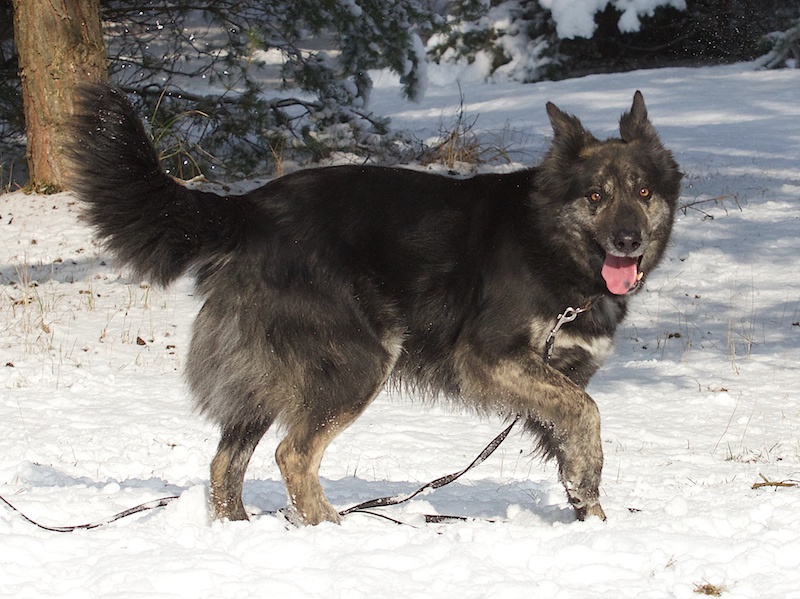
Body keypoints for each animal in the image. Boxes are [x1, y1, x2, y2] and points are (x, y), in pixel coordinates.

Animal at [67, 83, 681, 524]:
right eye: (596, 195)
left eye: (643, 192)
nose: (628, 240)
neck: (549, 242)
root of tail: (250, 207)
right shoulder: (491, 357)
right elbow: (588, 415)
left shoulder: (557, 374)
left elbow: (571, 436)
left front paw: (589, 516)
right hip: (360, 360)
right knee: (292, 454)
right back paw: (330, 530)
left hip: (268, 374)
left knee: (225, 463)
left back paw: (241, 532)